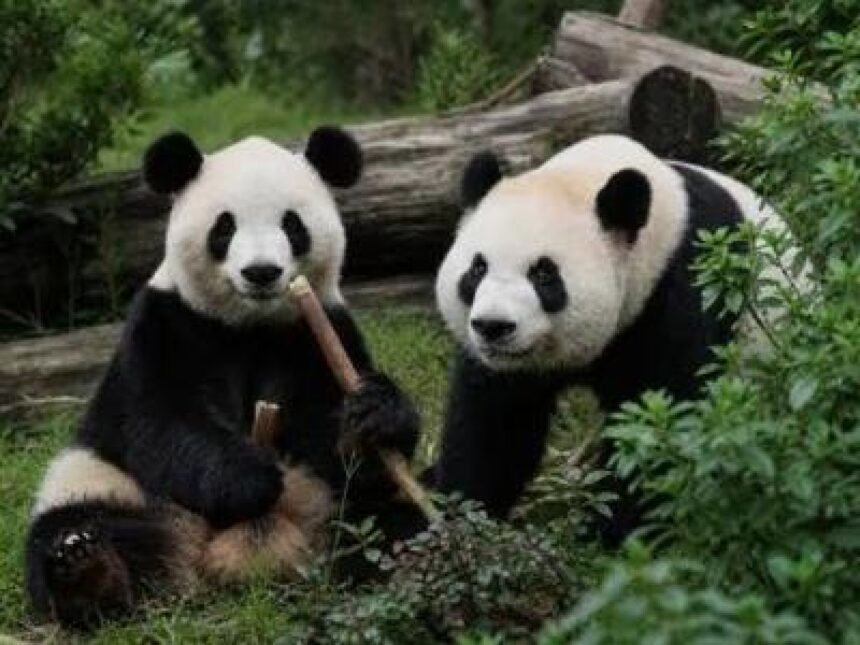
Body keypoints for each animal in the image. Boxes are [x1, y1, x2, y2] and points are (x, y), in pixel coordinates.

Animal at [25, 127, 421, 627]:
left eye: (292, 225)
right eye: (224, 227)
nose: (261, 272)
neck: (249, 327)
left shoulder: (317, 333)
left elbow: (336, 444)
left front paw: (374, 413)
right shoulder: (166, 325)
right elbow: (161, 422)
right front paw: (252, 477)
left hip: (331, 505)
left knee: (384, 519)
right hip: (103, 480)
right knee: (76, 526)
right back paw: (88, 569)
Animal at [431, 134, 781, 544]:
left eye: (544, 275)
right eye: (477, 269)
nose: (493, 326)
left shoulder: (684, 289)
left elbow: (660, 417)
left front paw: (603, 534)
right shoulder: (501, 369)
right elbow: (496, 426)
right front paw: (463, 519)